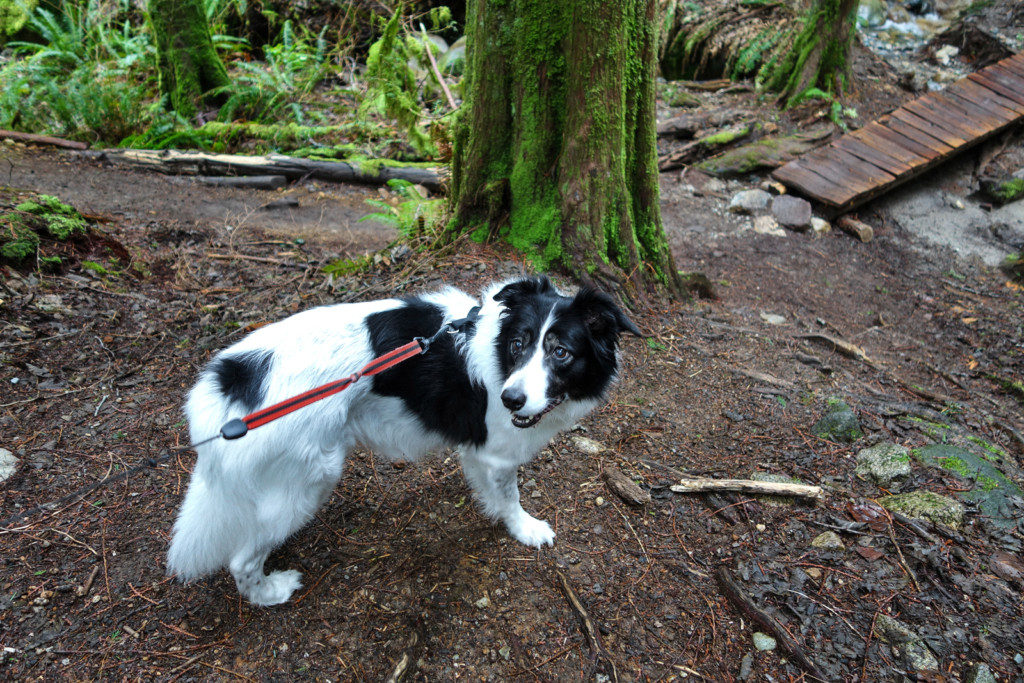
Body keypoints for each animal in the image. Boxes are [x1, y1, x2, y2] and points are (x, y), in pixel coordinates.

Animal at [166, 274, 634, 606]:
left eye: (560, 352)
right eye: (519, 344)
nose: (510, 399)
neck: (498, 355)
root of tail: (232, 379)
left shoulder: (481, 451)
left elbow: (488, 489)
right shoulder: (500, 453)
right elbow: (511, 497)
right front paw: (525, 529)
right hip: (309, 480)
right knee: (242, 559)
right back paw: (270, 592)